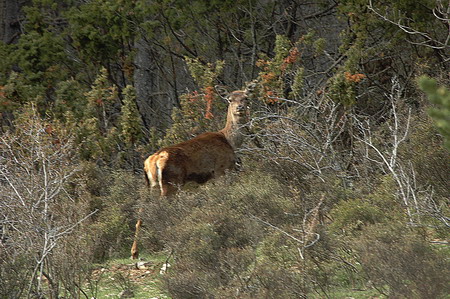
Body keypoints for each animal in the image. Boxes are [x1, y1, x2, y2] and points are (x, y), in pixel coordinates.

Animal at [130, 86, 251, 260]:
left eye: (246, 97)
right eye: (229, 99)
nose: (240, 108)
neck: (230, 142)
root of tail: (153, 161)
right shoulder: (222, 171)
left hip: (150, 185)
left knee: (142, 213)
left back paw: (135, 252)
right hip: (171, 184)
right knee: (162, 212)